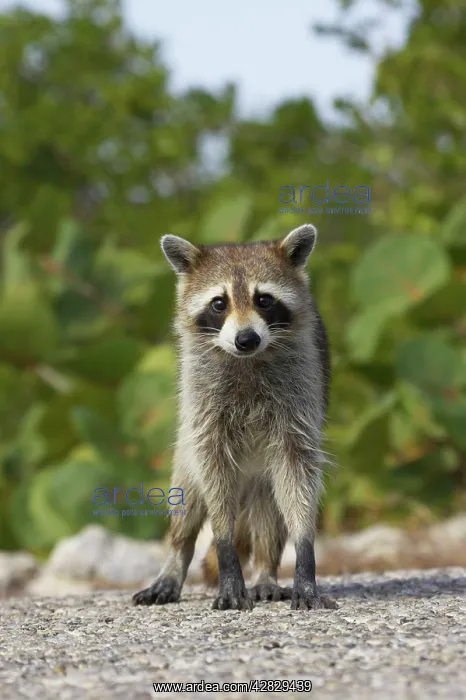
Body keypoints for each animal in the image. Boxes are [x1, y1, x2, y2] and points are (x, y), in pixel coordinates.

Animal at [132, 224, 337, 611]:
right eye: (219, 303)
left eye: (264, 300)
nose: (246, 339)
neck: (247, 361)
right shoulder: (203, 411)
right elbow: (212, 484)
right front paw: (227, 560)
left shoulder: (300, 400)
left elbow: (299, 477)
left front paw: (305, 560)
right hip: (186, 446)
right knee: (187, 502)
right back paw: (175, 560)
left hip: (262, 479)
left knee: (271, 515)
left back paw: (265, 572)